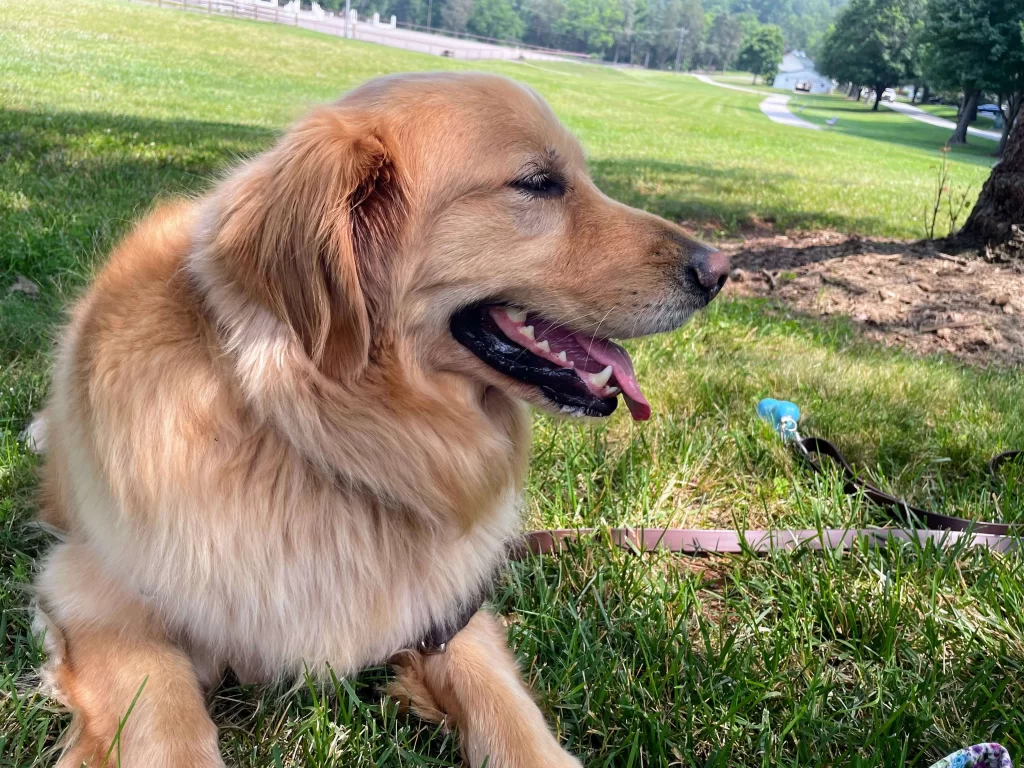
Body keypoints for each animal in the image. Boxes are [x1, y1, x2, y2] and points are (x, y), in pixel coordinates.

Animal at [29, 69, 729, 765]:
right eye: (536, 183)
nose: (719, 270)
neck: (319, 432)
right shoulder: (93, 593)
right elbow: (170, 728)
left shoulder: (446, 613)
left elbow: (511, 718)